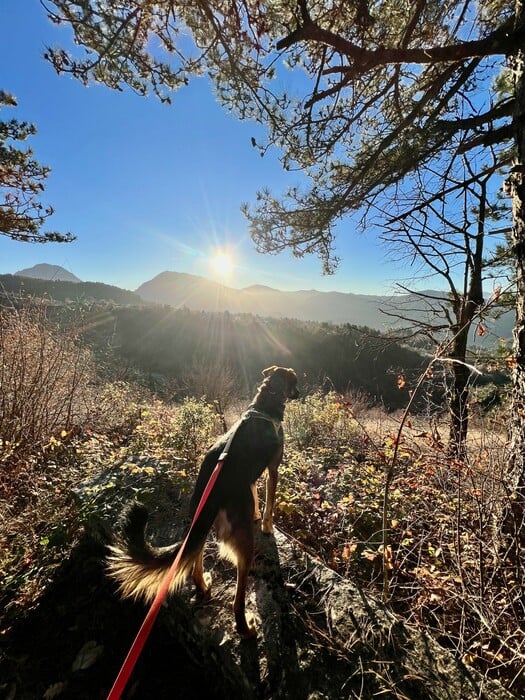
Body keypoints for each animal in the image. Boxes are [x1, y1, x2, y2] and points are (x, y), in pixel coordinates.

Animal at [105, 366, 298, 640]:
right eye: (296, 383)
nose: (299, 393)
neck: (265, 401)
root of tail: (213, 488)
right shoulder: (273, 470)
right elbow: (269, 503)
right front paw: (267, 525)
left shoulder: (252, 479)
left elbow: (255, 496)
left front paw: (256, 514)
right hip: (242, 545)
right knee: (237, 600)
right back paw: (246, 629)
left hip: (201, 519)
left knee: (193, 561)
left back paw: (203, 585)